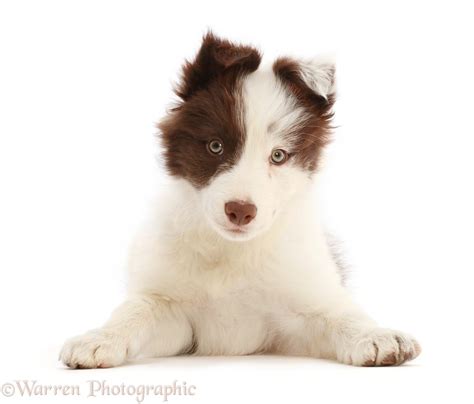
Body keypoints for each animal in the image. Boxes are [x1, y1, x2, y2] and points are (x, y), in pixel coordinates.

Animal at [61, 33, 420, 368]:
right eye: (216, 146)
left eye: (278, 156)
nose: (240, 212)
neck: (232, 252)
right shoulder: (174, 314)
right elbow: (136, 310)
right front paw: (99, 338)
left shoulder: (298, 312)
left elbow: (339, 314)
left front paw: (377, 336)